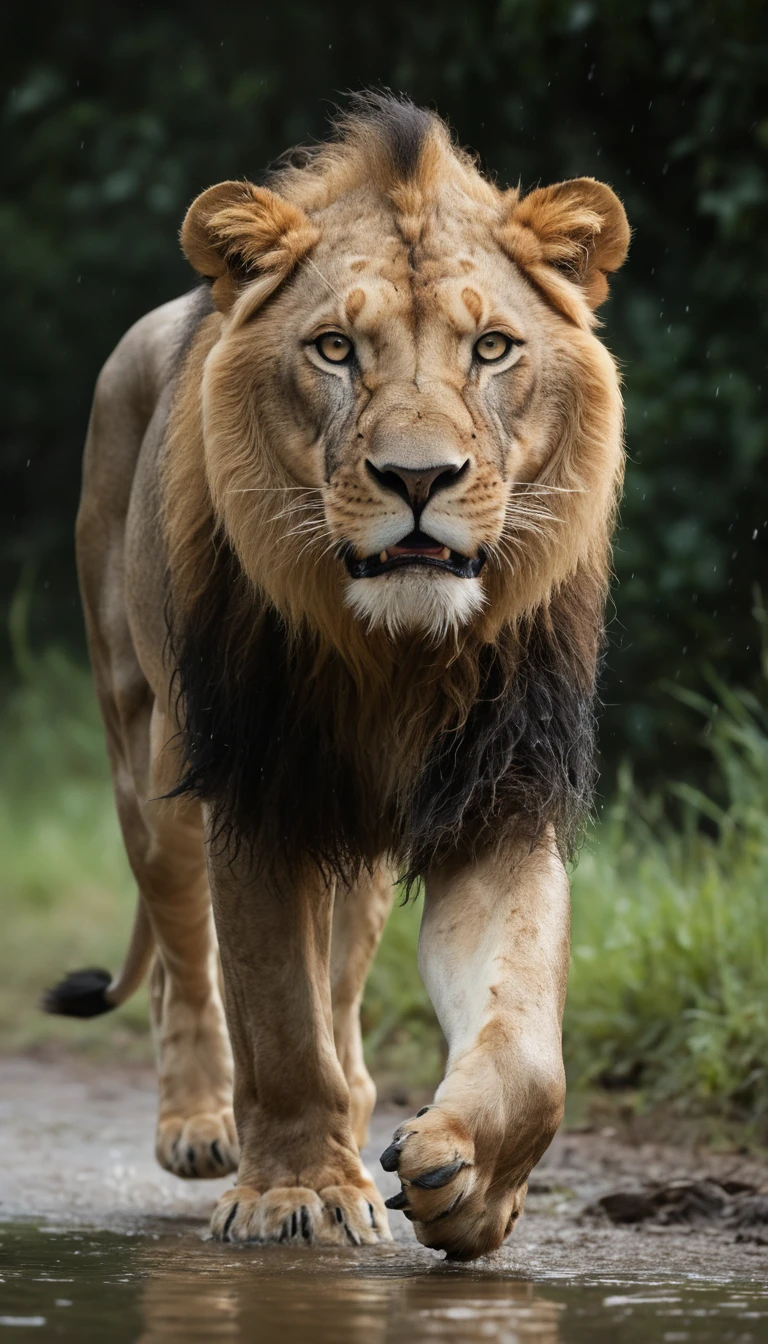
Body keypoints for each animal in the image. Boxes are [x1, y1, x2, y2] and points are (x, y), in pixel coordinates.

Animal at [45, 91, 628, 1260]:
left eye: (492, 347)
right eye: (333, 349)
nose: (418, 478)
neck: (395, 656)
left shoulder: (500, 794)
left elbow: (525, 1040)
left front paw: (470, 1182)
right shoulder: (255, 791)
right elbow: (275, 1013)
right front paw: (293, 1192)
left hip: (355, 843)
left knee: (344, 983)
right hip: (148, 763)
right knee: (185, 962)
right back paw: (201, 1126)